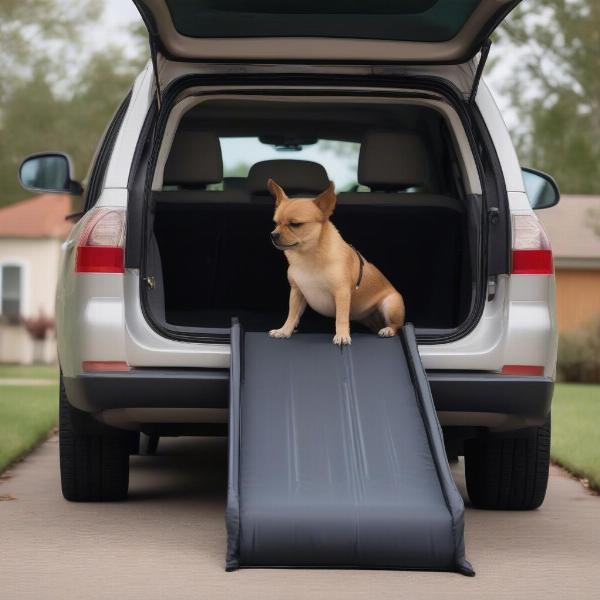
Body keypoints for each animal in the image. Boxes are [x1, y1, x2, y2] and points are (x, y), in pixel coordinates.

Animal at [270, 178, 406, 344]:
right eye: (275, 223)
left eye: (295, 224)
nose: (273, 234)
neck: (308, 256)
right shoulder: (297, 293)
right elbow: (292, 315)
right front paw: (284, 331)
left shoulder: (342, 293)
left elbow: (341, 317)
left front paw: (341, 336)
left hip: (390, 304)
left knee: (397, 326)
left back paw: (388, 329)